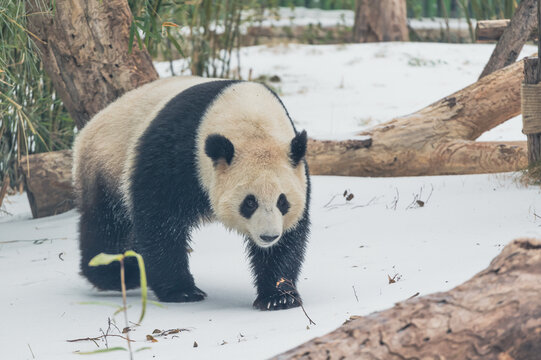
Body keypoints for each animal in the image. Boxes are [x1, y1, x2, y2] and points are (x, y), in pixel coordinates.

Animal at [72, 75, 310, 310]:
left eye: (282, 202)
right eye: (249, 202)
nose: (268, 236)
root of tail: (88, 128)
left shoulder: (296, 167)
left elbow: (290, 238)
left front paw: (278, 296)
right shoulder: (175, 152)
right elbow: (159, 220)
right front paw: (182, 291)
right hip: (107, 163)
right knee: (108, 225)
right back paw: (120, 273)